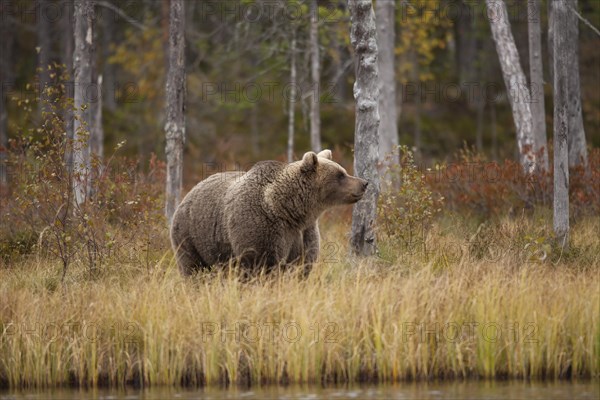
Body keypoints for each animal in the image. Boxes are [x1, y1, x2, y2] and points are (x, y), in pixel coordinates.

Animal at [168, 148, 366, 276]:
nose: (364, 183)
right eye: (340, 175)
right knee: (193, 268)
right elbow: (262, 265)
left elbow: (301, 267)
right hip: (191, 236)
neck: (291, 211)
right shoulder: (261, 228)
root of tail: (190, 192)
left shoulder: (303, 233)